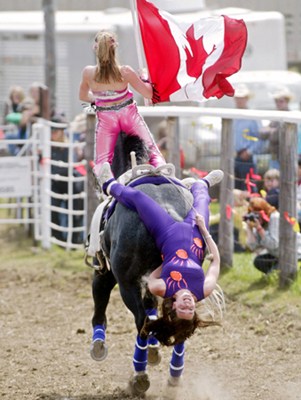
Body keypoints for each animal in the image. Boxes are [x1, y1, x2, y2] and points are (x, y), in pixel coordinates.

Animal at [90, 134, 192, 394]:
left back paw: (139, 377)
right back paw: (174, 376)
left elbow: (100, 306)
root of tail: (166, 213)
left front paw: (98, 344)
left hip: (127, 285)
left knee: (141, 321)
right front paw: (156, 349)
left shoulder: (105, 274)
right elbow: (153, 310)